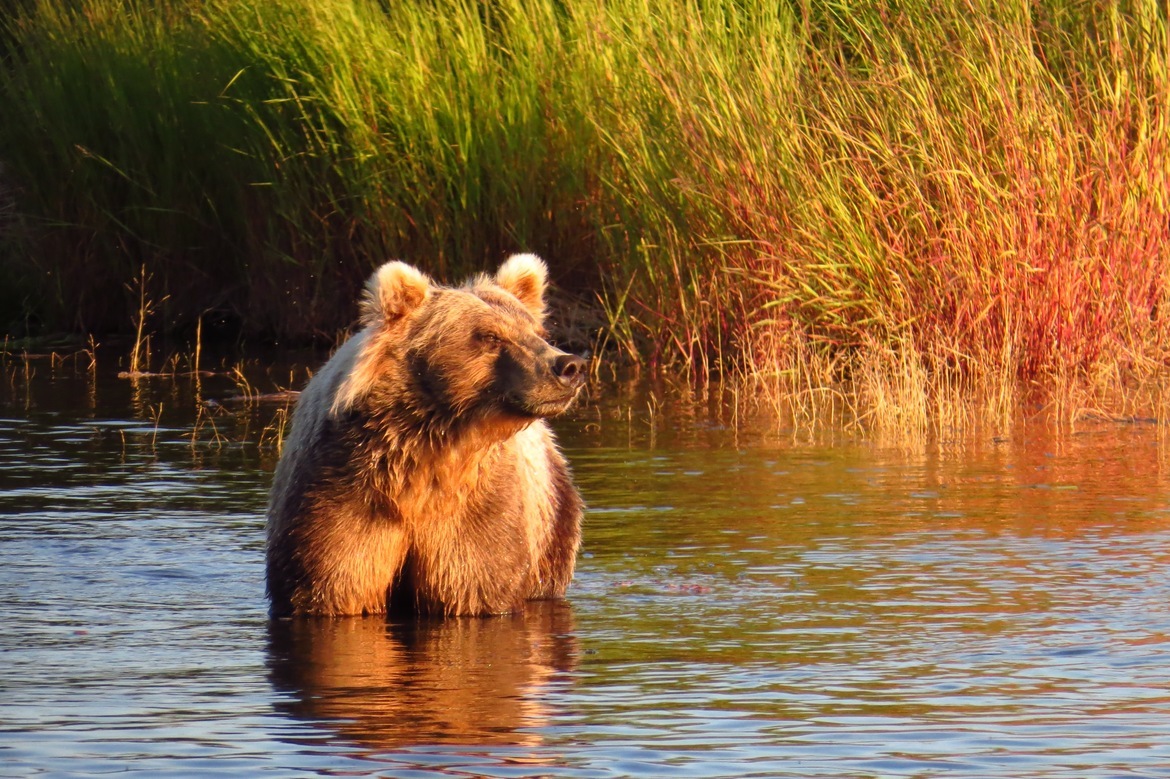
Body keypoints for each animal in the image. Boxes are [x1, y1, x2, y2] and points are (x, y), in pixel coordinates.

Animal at [265, 254, 586, 618]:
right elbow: (331, 582)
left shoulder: (479, 504)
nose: (569, 366)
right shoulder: (339, 492)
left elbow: (476, 583)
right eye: (490, 336)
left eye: (539, 332)